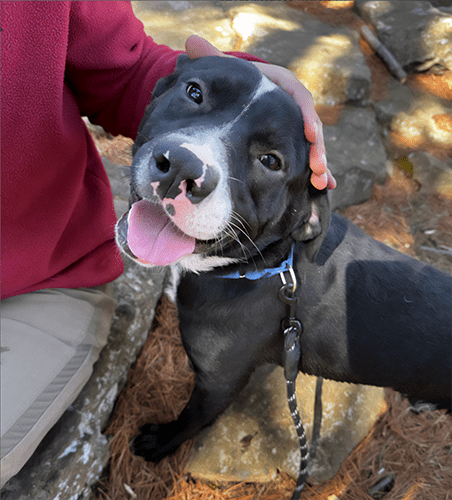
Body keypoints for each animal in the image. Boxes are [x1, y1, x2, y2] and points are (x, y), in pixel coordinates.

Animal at [115, 56, 450, 466]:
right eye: (194, 92)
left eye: (270, 161)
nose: (181, 167)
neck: (264, 266)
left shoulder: (217, 383)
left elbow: (191, 420)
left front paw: (159, 443)